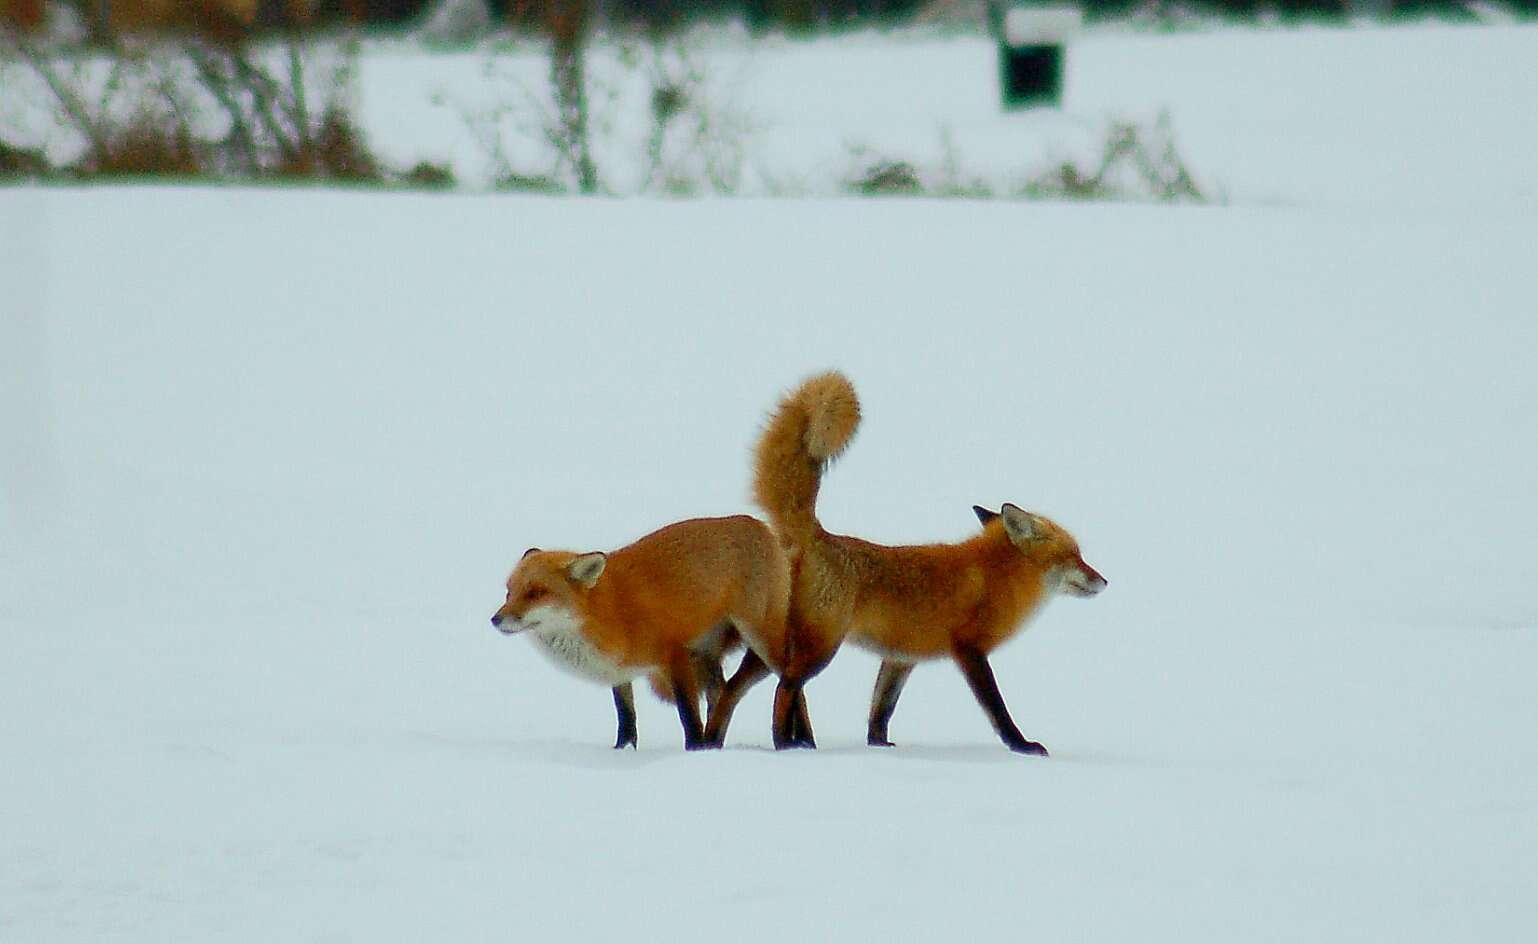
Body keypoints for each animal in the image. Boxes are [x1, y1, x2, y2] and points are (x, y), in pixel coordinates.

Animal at [495, 513, 793, 750]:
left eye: (536, 593)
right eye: (509, 592)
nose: (495, 620)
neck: (606, 611)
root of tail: (755, 522)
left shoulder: (676, 656)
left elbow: (688, 715)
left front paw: (694, 751)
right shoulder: (619, 672)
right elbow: (626, 718)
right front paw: (623, 751)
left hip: (760, 638)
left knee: (789, 679)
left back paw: (792, 742)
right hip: (709, 655)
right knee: (721, 695)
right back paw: (717, 742)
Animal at [704, 373, 1113, 759]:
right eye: (1075, 555)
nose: (1105, 581)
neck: (996, 576)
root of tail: (815, 535)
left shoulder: (900, 658)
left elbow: (880, 711)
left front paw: (879, 747)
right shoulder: (970, 650)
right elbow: (997, 709)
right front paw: (1022, 745)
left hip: (772, 645)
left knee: (731, 690)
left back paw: (715, 744)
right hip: (818, 647)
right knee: (784, 687)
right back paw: (785, 745)